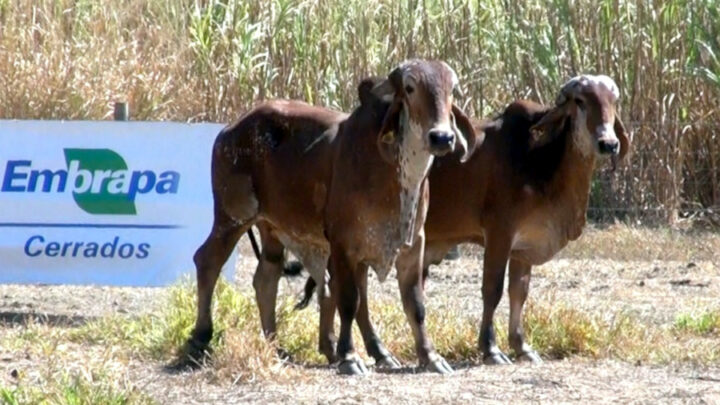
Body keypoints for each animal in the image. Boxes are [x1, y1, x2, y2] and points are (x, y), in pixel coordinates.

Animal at [186, 60, 476, 376]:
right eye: (410, 88)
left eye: (452, 90)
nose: (442, 137)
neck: (394, 170)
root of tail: (229, 130)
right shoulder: (343, 244)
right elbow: (349, 300)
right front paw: (349, 357)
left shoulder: (411, 244)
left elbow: (415, 304)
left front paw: (430, 356)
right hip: (232, 216)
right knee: (208, 261)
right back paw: (199, 339)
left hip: (272, 228)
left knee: (266, 278)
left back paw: (276, 348)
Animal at [286, 72, 632, 362]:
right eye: (580, 101)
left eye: (613, 102)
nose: (608, 143)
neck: (541, 160)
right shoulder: (499, 233)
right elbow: (492, 290)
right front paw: (491, 348)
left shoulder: (523, 248)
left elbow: (518, 293)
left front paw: (521, 346)